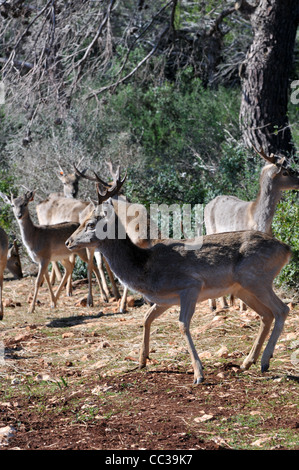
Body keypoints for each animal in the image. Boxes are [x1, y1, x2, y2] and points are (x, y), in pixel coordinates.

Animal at [65, 171, 292, 384]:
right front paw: (141, 361)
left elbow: (182, 324)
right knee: (266, 315)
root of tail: (286, 249)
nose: (68, 242)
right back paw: (248, 362)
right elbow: (146, 318)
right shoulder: (165, 300)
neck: (145, 268)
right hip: (243, 288)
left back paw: (264, 361)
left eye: (91, 223)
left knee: (282, 309)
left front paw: (198, 373)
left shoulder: (191, 285)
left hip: (257, 279)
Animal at [205, 147, 298, 312]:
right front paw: (243, 307)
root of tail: (207, 204)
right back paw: (216, 305)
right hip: (210, 230)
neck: (257, 220)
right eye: (286, 172)